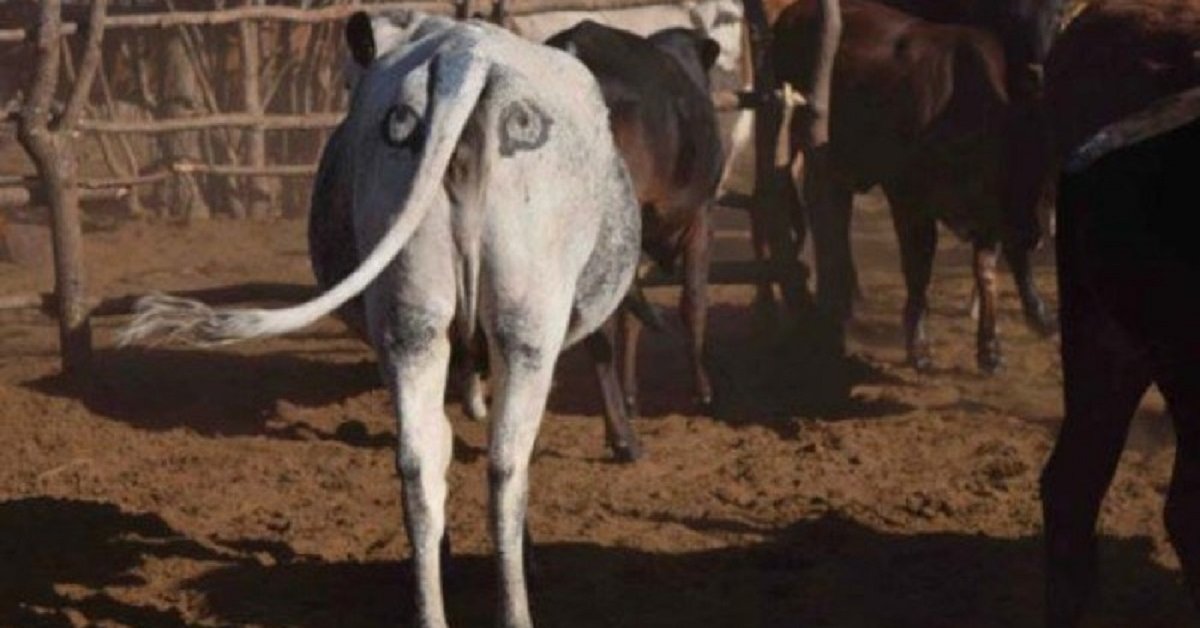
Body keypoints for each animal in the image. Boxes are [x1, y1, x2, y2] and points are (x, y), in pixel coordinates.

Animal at [120, 11, 641, 628]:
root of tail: (465, 51)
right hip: (527, 326)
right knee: (505, 463)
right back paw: (513, 606)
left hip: (410, 322)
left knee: (420, 461)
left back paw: (429, 603)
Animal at [772, 0, 1055, 373]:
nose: (1034, 236)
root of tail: (792, 13)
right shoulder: (908, 201)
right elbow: (919, 269)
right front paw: (918, 346)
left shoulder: (986, 216)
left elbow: (986, 273)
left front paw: (990, 349)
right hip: (800, 141)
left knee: (834, 213)